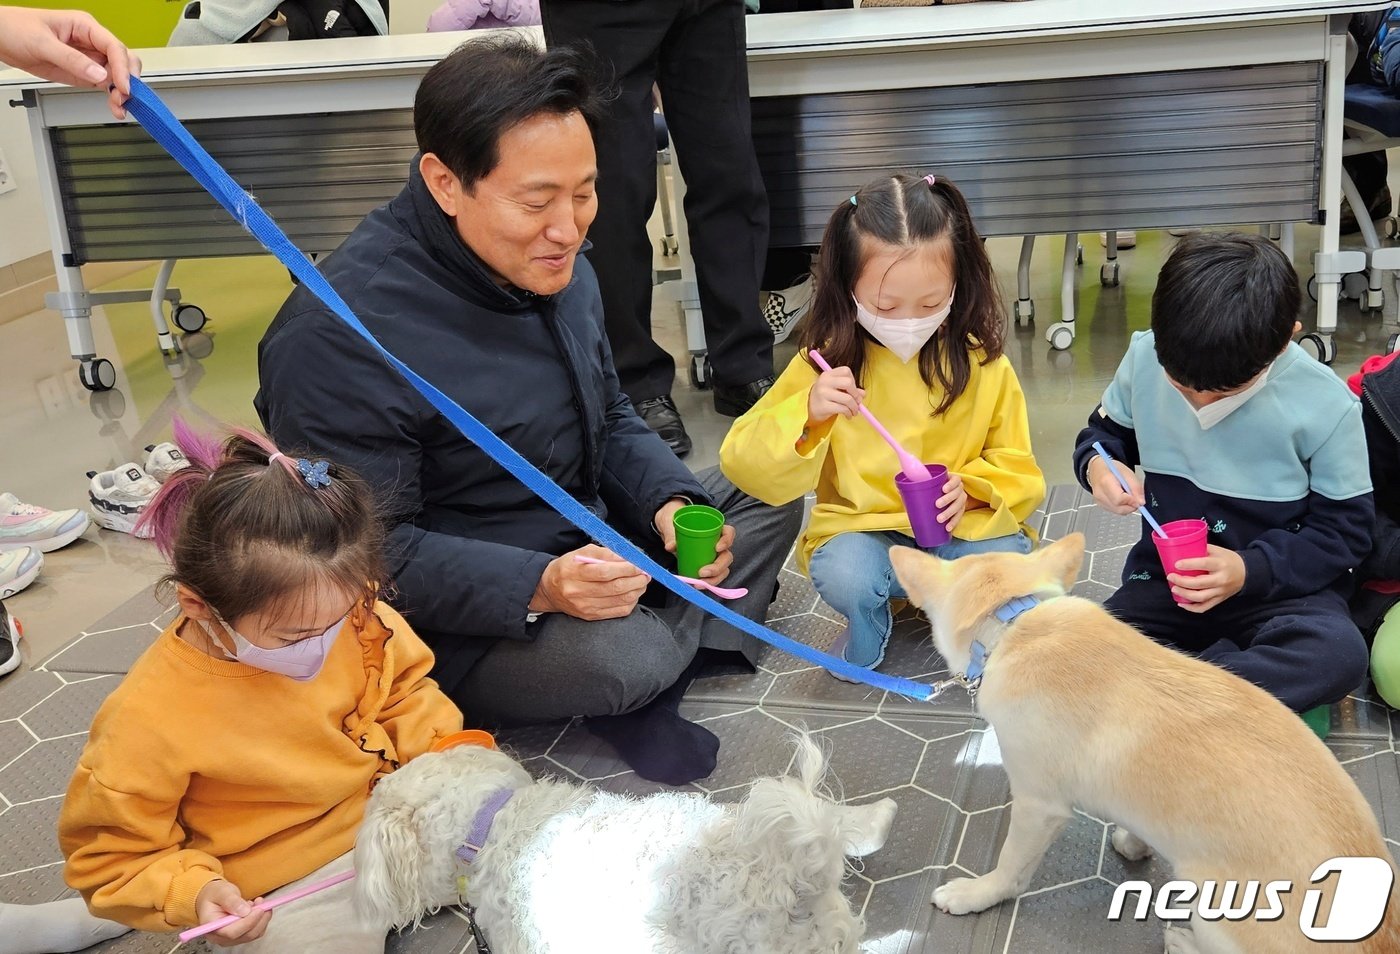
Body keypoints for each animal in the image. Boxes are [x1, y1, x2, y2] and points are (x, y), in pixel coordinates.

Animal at [890, 535, 1394, 952]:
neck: (1014, 623)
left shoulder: (1038, 805)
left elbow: (1010, 867)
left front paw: (976, 893)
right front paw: (1134, 841)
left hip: (1207, 900)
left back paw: (1183, 942)